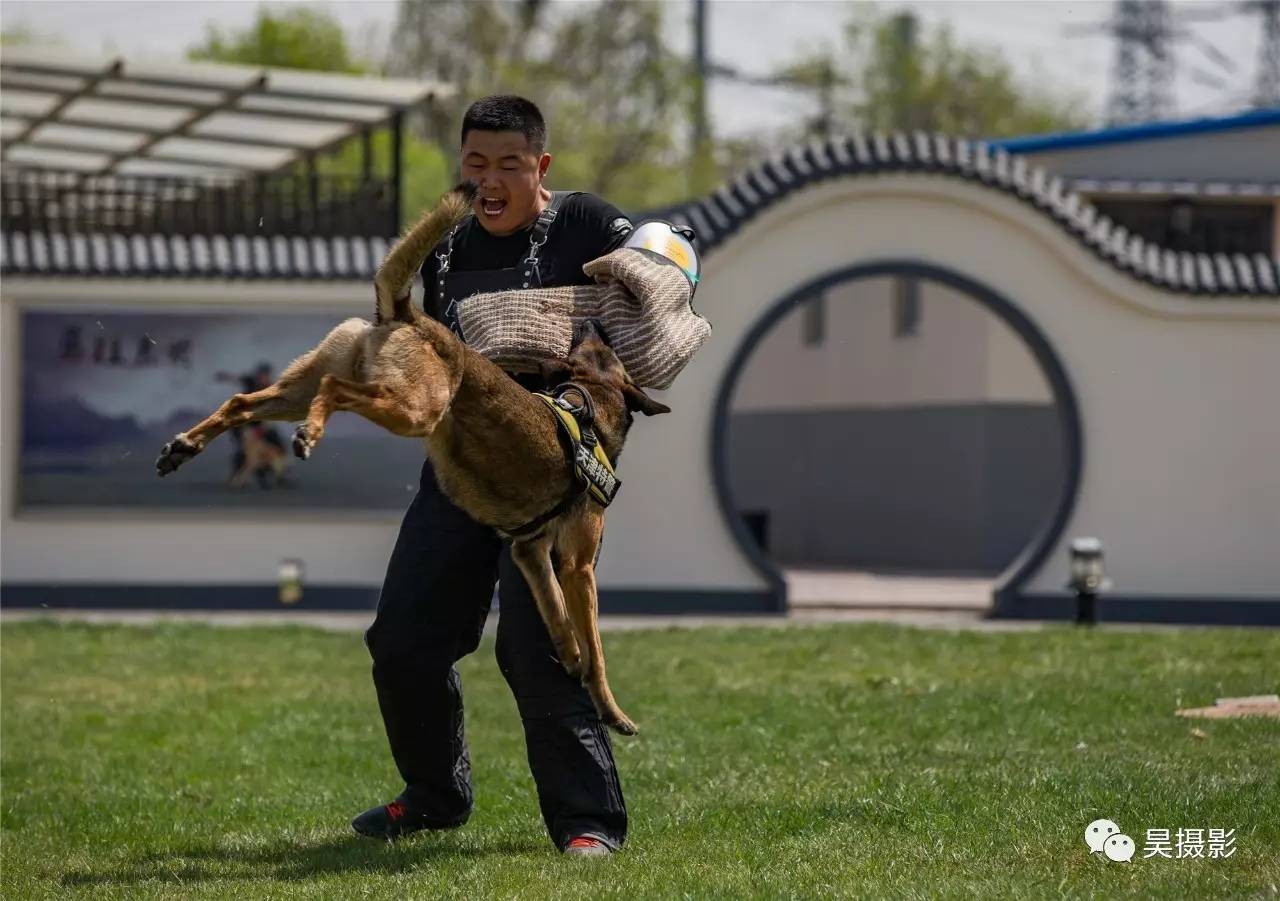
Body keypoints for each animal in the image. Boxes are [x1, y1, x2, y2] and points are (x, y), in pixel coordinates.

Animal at [160, 181, 670, 732]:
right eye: (602, 346)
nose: (593, 318)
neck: (587, 402)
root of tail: (409, 313)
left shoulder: (530, 554)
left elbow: (559, 620)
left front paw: (569, 657)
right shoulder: (576, 565)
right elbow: (596, 650)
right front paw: (612, 710)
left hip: (299, 389)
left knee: (242, 402)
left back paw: (183, 447)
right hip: (414, 410)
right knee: (335, 390)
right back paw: (308, 434)